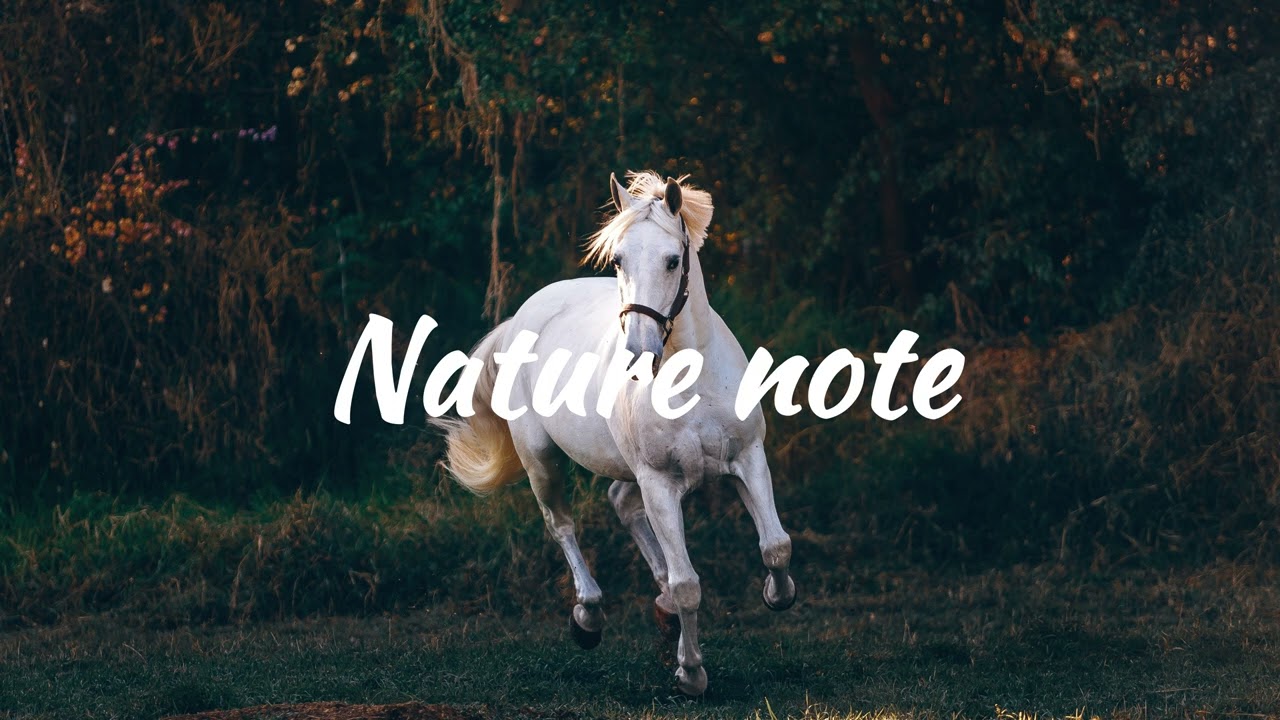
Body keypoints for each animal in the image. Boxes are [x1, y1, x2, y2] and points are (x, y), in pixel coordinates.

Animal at [434, 171, 795, 696]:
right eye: (619, 259)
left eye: (672, 260)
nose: (639, 353)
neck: (693, 377)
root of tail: (523, 315)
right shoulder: (659, 482)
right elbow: (688, 584)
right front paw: (691, 673)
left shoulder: (747, 459)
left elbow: (776, 546)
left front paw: (775, 594)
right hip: (542, 459)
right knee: (562, 525)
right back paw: (588, 617)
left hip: (627, 470)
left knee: (620, 504)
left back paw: (659, 609)